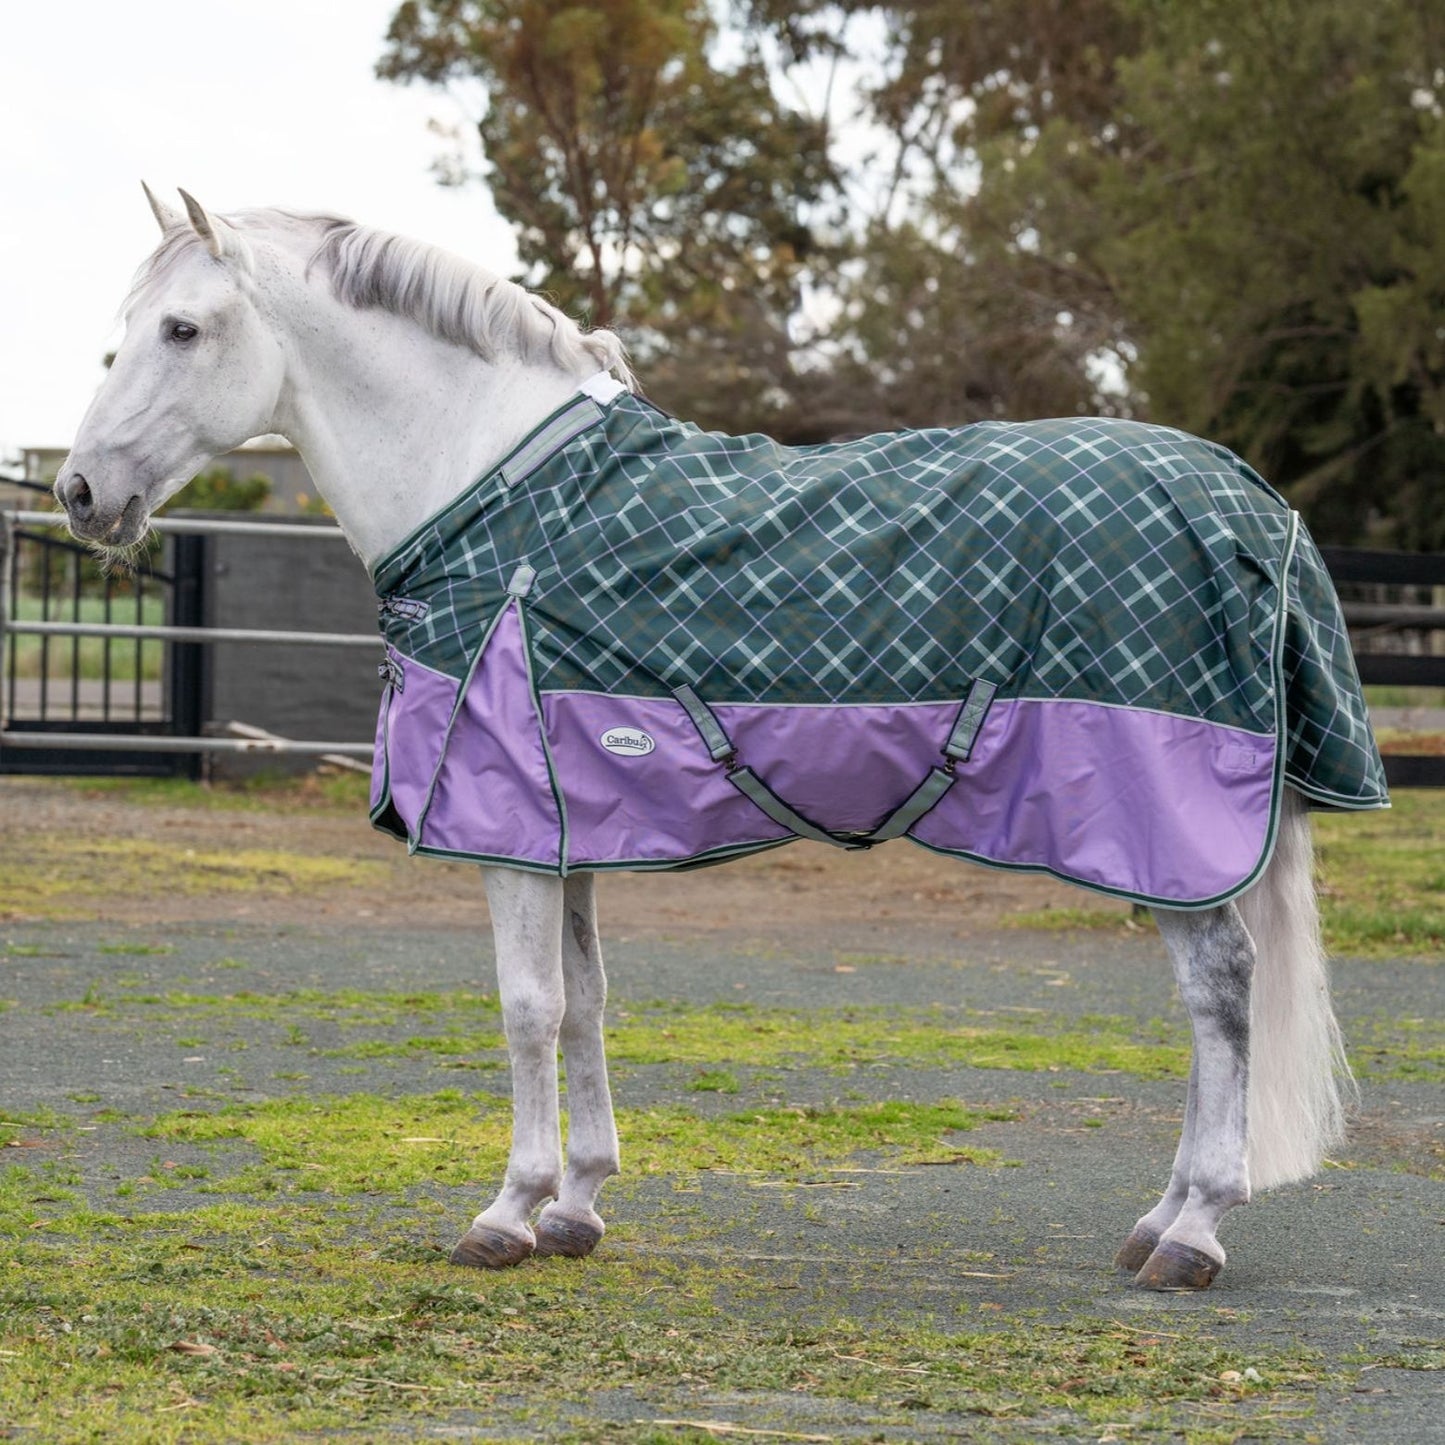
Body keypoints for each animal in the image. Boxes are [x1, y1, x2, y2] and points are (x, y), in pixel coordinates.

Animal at [54, 187, 1388, 1291]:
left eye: (182, 329)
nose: (76, 493)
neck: (497, 508)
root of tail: (1248, 497)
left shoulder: (503, 830)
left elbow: (525, 1008)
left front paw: (506, 1210)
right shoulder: (566, 831)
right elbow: (585, 1001)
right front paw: (577, 1204)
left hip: (1166, 829)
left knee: (1220, 991)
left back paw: (1192, 1229)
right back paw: (1157, 1218)